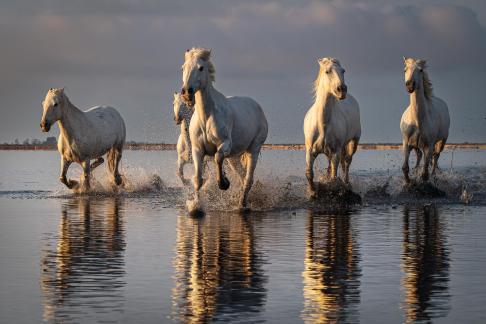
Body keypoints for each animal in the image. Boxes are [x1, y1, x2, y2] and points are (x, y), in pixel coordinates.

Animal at [180, 48, 268, 210]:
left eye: (201, 68)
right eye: (183, 67)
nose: (187, 92)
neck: (207, 117)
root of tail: (257, 106)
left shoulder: (225, 144)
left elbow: (218, 157)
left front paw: (224, 183)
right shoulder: (197, 149)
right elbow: (198, 179)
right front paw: (196, 206)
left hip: (254, 148)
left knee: (248, 179)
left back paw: (242, 204)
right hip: (234, 156)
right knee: (242, 176)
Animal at [304, 57, 360, 196]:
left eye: (343, 70)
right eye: (327, 71)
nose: (342, 90)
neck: (322, 124)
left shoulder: (336, 151)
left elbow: (334, 177)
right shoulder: (310, 151)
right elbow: (309, 173)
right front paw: (312, 192)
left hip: (353, 141)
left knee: (347, 162)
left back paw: (347, 184)